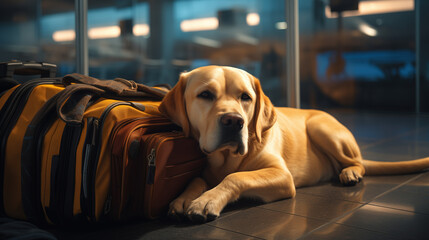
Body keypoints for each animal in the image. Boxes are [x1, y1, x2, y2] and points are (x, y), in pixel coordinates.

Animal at [158, 65, 428, 223]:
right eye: (205, 95)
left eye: (246, 97)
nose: (234, 121)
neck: (227, 159)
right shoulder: (204, 169)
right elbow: (197, 179)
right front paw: (185, 198)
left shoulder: (282, 176)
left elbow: (236, 177)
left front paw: (208, 200)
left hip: (321, 127)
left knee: (357, 162)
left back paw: (350, 172)